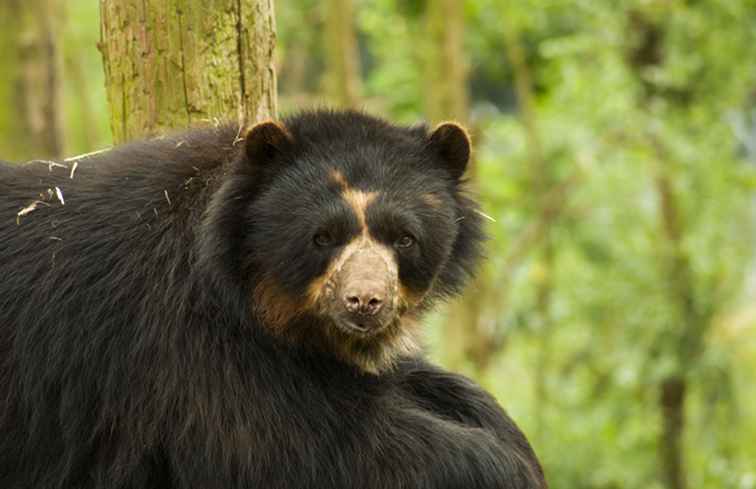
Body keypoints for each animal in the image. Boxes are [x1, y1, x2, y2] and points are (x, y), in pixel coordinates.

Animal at [0, 110, 548, 488]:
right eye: (322, 237)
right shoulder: (192, 352)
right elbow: (311, 448)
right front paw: (509, 467)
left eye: (404, 238)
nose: (365, 302)